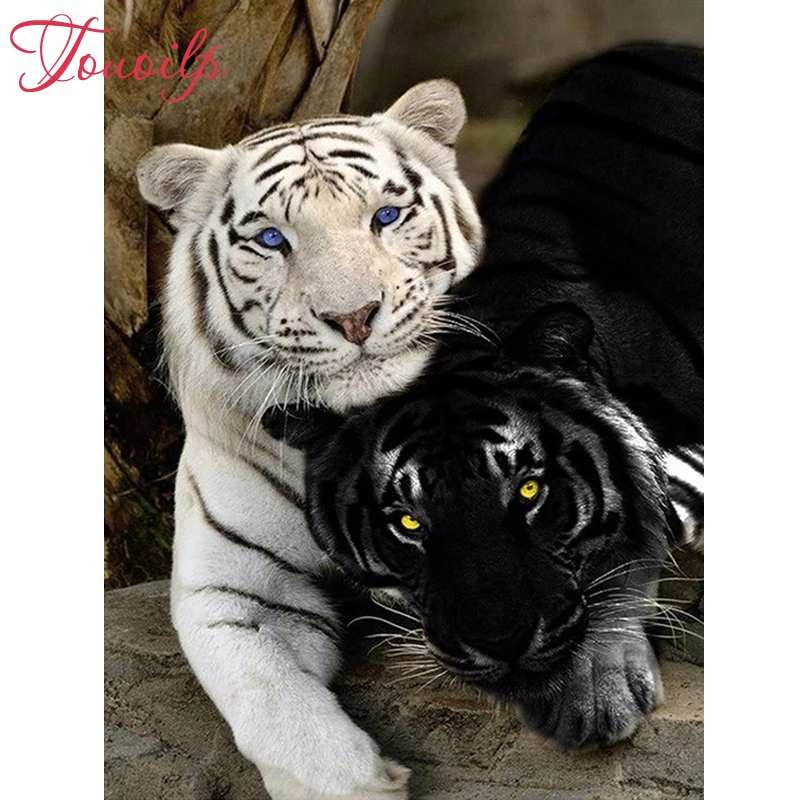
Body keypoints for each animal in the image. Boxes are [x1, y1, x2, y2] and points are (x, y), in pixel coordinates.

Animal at [135, 80, 483, 800]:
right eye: (272, 239)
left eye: (385, 216)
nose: (353, 316)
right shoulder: (236, 589)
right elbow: (264, 692)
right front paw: (355, 782)